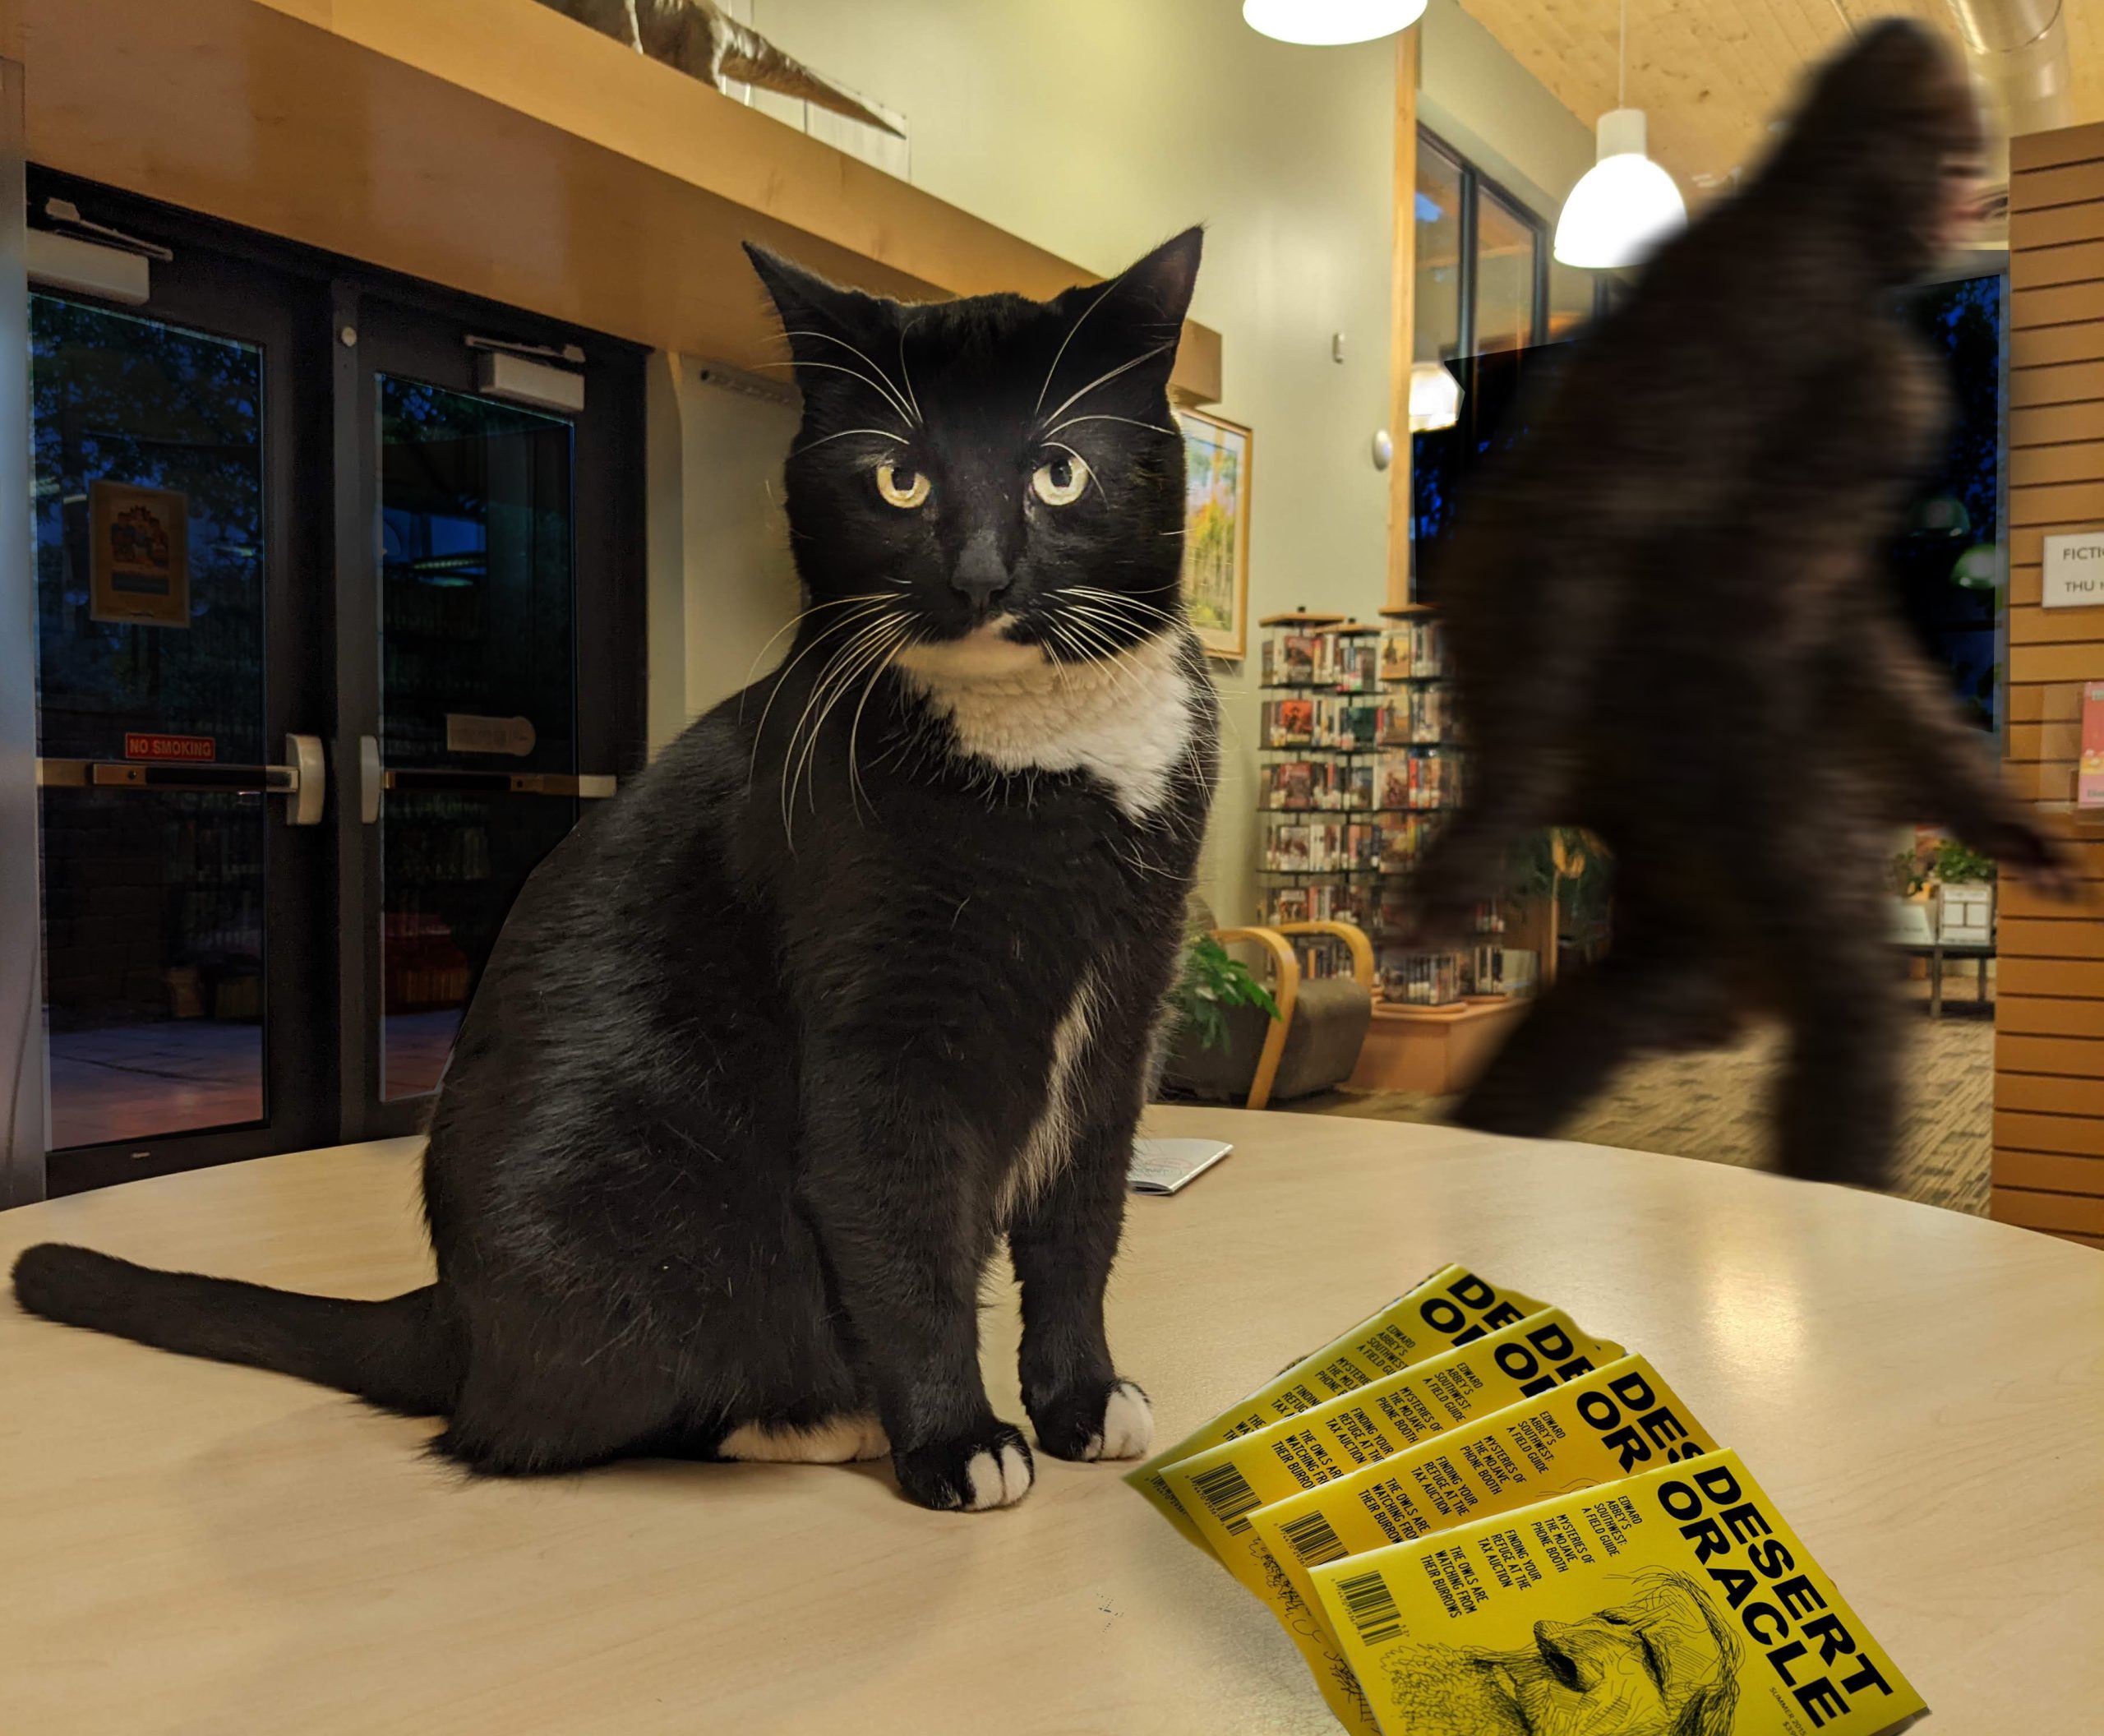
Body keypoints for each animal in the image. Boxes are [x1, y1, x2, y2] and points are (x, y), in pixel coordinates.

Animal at [16, 227, 1229, 1506]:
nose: (984, 573)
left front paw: (1080, 1398)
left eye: (1059, 471)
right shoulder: (883, 1026)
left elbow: (1080, 1218)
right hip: (642, 1217)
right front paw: (955, 1439)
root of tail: (449, 1314)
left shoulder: (1125, 1006)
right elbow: (903, 1232)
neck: (1050, 747)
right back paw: (810, 1416)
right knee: (538, 1422)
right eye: (900, 479)